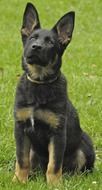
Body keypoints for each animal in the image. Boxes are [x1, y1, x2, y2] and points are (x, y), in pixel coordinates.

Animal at [12, 2, 95, 184]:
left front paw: (54, 184)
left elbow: (55, 163)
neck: (40, 83)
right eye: (32, 38)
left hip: (85, 143)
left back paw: (71, 178)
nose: (36, 47)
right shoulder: (21, 128)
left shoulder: (57, 132)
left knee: (77, 167)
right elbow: (22, 160)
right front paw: (19, 181)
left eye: (50, 42)